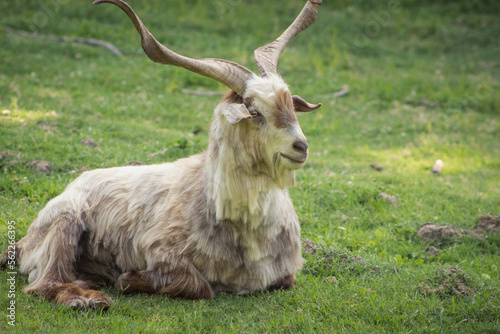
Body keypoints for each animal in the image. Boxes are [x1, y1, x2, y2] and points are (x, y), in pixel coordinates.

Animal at [0, 0, 324, 310]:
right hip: (66, 220)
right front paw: (127, 279)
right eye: (254, 112)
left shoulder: (284, 272)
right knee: (45, 282)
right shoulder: (161, 251)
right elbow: (200, 287)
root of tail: (23, 242)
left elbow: (287, 281)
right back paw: (88, 299)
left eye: (290, 105)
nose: (300, 146)